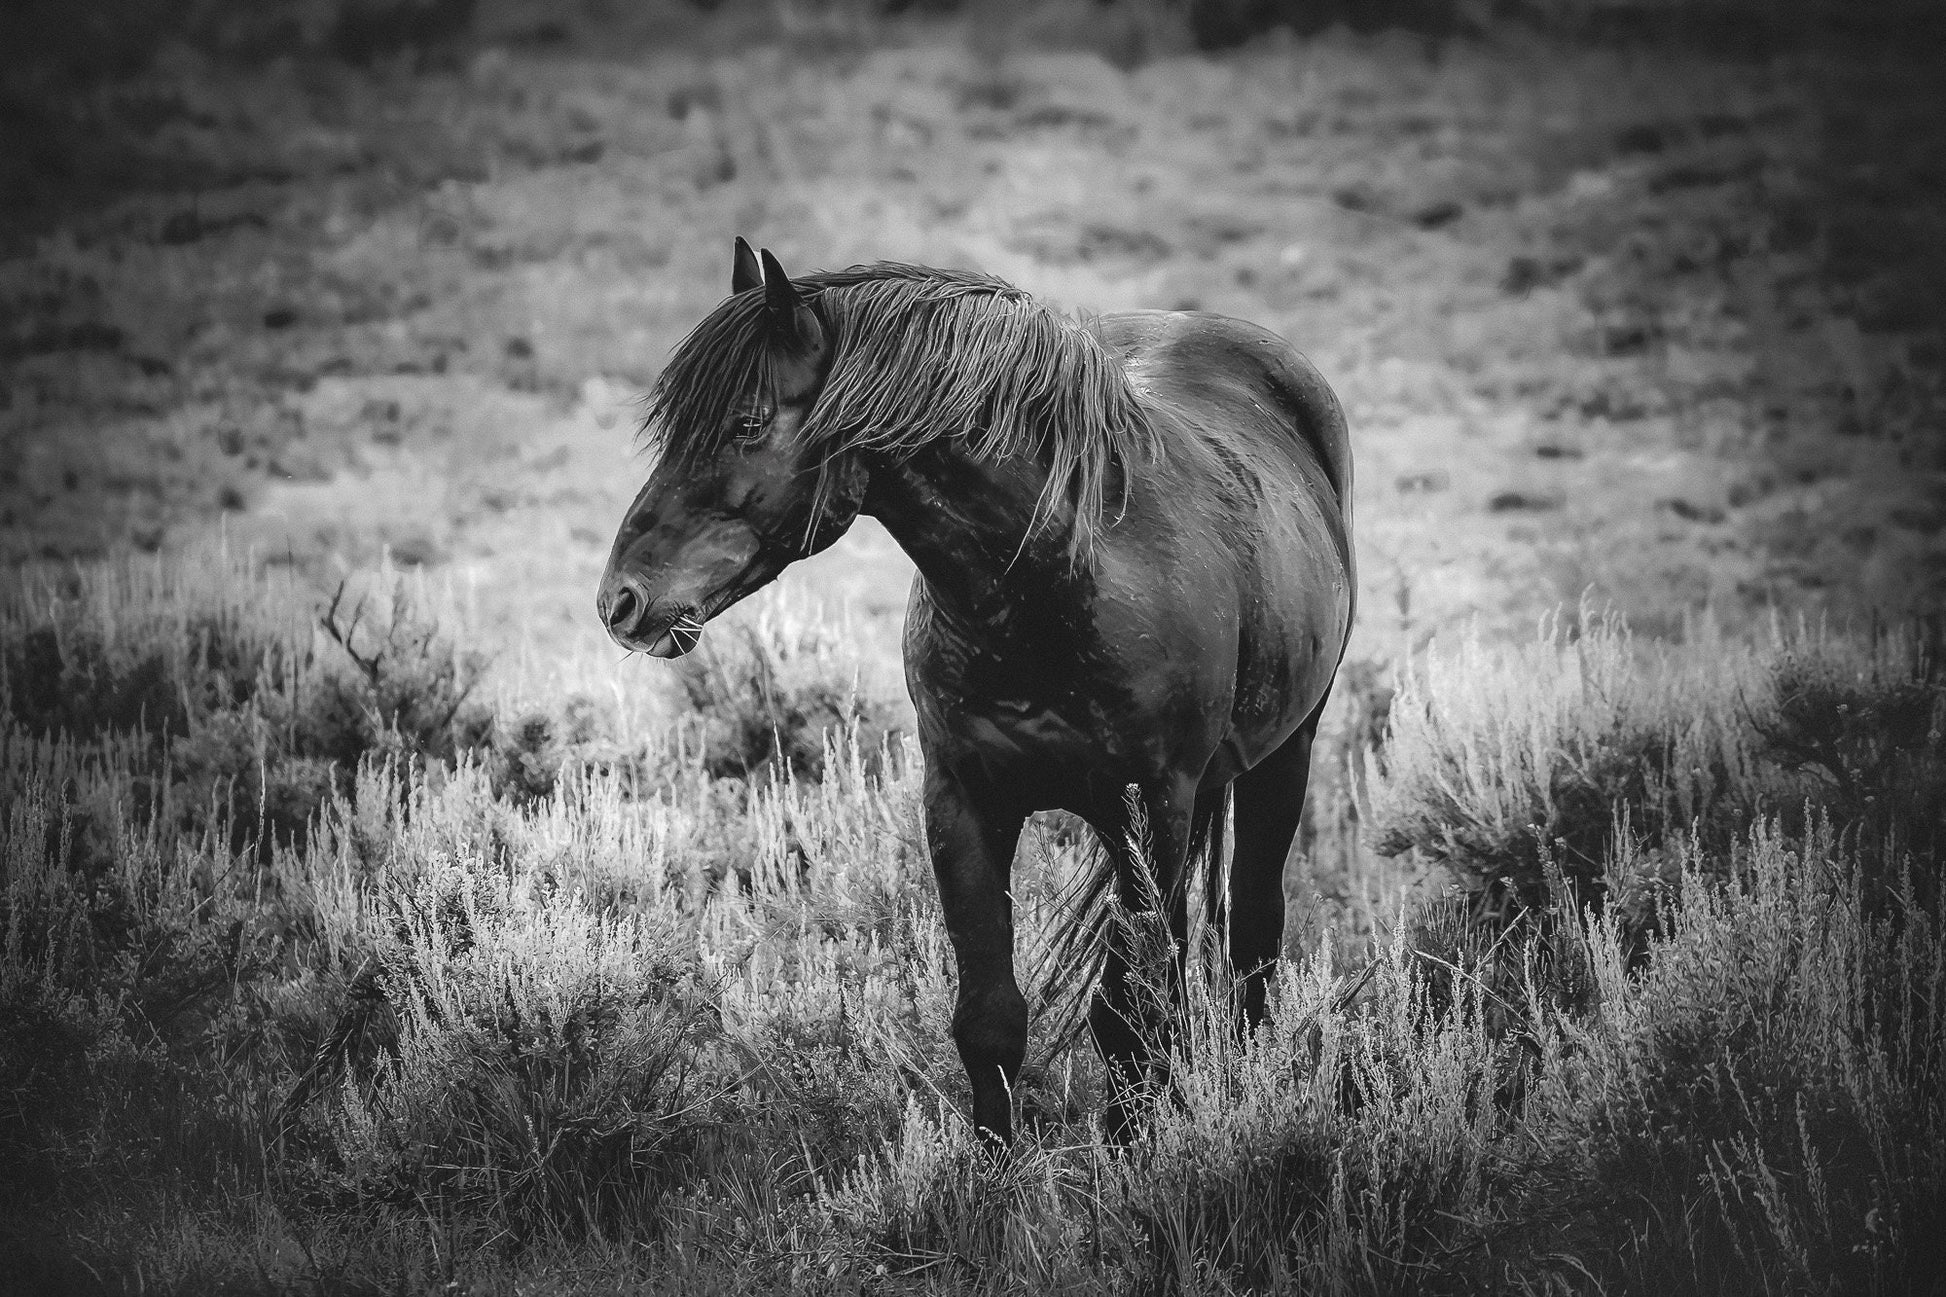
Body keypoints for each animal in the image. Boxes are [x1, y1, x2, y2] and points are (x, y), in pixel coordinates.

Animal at [595, 242, 1354, 1145]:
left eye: (747, 423)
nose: (621, 601)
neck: (1059, 582)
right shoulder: (963, 799)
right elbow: (990, 1017)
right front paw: (994, 1170)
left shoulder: (1153, 810)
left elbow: (1130, 1014)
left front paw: (1133, 1157)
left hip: (1284, 757)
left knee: (1251, 943)